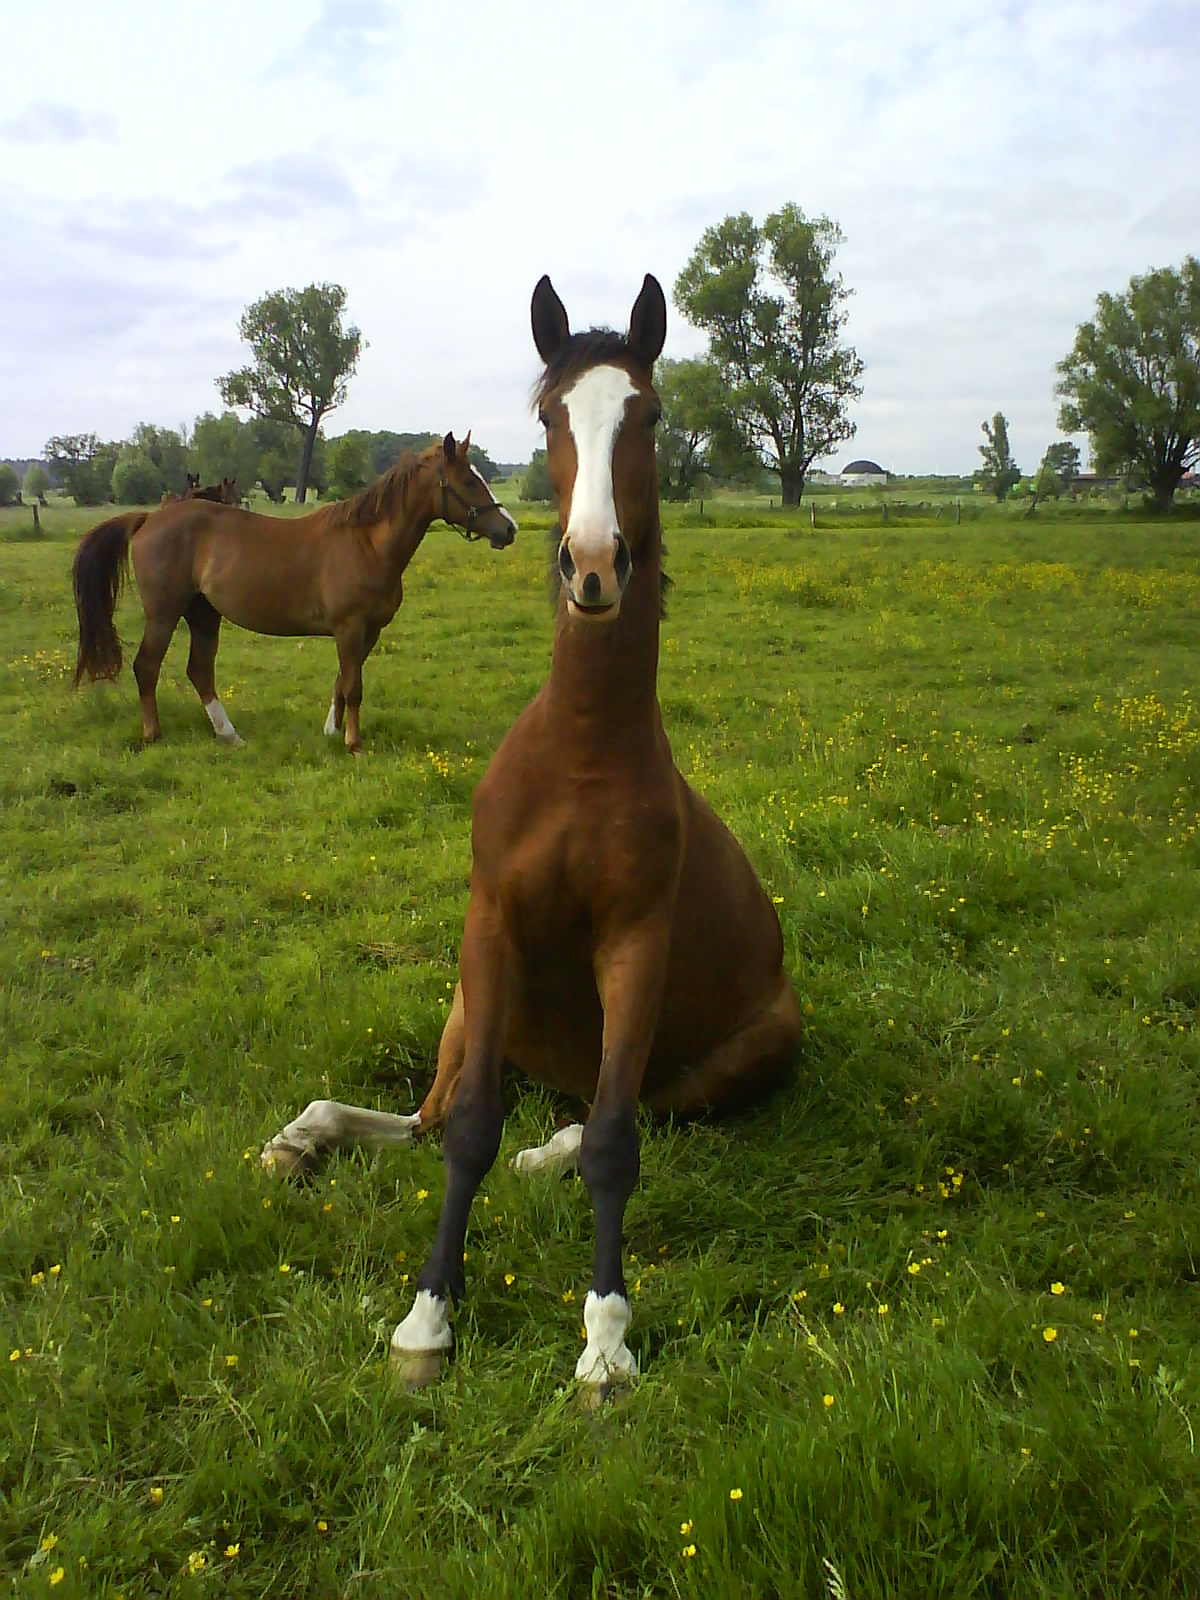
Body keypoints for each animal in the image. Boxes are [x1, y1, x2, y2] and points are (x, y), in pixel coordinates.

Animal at [70, 435, 512, 752]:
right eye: (469, 480)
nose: (508, 529)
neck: (367, 543)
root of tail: (149, 519)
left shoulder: (368, 632)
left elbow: (342, 681)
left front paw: (332, 732)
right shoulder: (349, 628)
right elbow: (353, 686)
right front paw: (353, 743)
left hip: (204, 614)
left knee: (200, 671)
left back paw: (230, 736)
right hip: (164, 613)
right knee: (147, 667)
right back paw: (153, 734)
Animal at [267, 278, 803, 1401]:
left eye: (650, 414)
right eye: (552, 416)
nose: (592, 566)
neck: (581, 753)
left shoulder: (633, 947)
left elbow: (614, 1143)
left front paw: (605, 1339)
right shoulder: (492, 931)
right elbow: (465, 1130)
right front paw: (426, 1319)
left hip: (753, 1048)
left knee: (630, 1109)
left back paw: (540, 1152)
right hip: (474, 1007)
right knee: (427, 1120)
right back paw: (301, 1137)